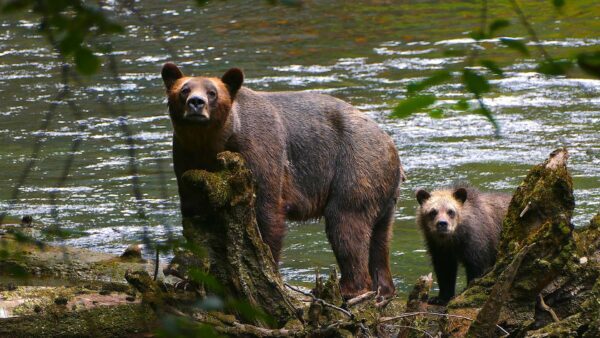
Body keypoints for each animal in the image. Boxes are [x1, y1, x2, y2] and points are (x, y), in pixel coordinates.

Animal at [162, 64, 400, 298]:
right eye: (184, 89)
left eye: (212, 92)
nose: (196, 102)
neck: (212, 144)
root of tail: (392, 147)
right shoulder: (186, 162)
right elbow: (194, 213)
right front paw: (189, 280)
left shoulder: (259, 152)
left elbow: (266, 210)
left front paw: (269, 271)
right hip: (382, 188)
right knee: (380, 238)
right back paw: (383, 290)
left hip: (355, 166)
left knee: (346, 223)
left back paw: (350, 290)